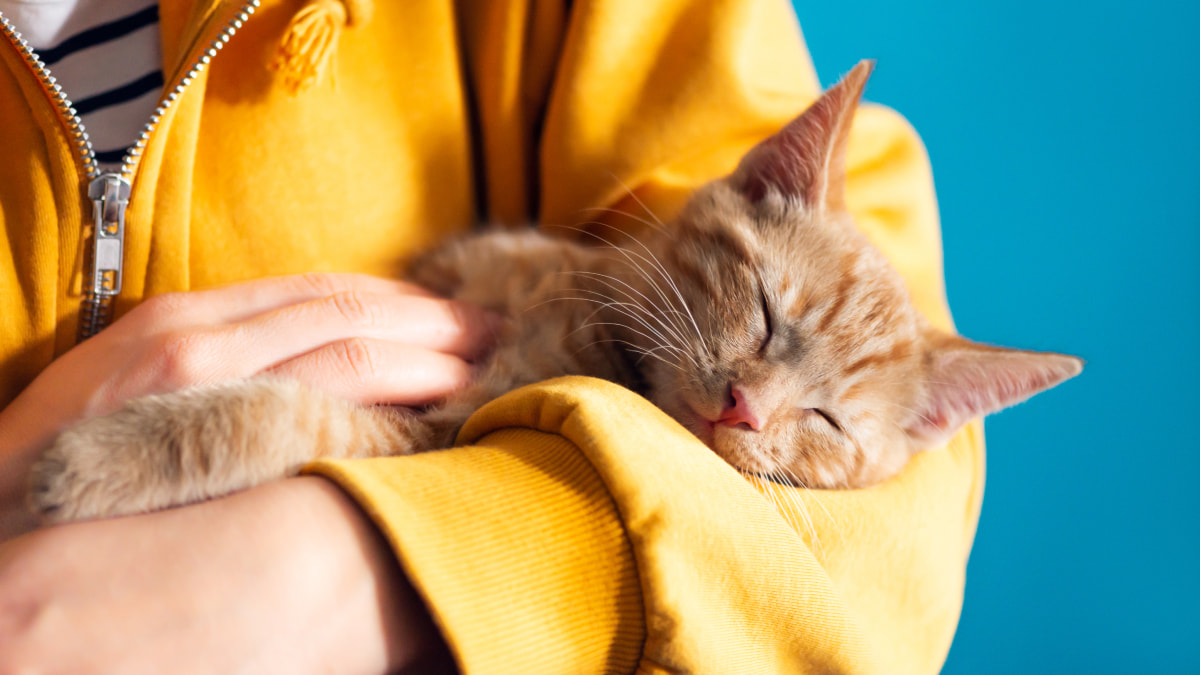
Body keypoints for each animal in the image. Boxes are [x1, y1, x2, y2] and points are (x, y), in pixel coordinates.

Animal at [28, 61, 1084, 521]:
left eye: (826, 422)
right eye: (765, 309)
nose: (746, 407)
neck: (582, 318)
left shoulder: (430, 432)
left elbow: (277, 412)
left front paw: (96, 460)